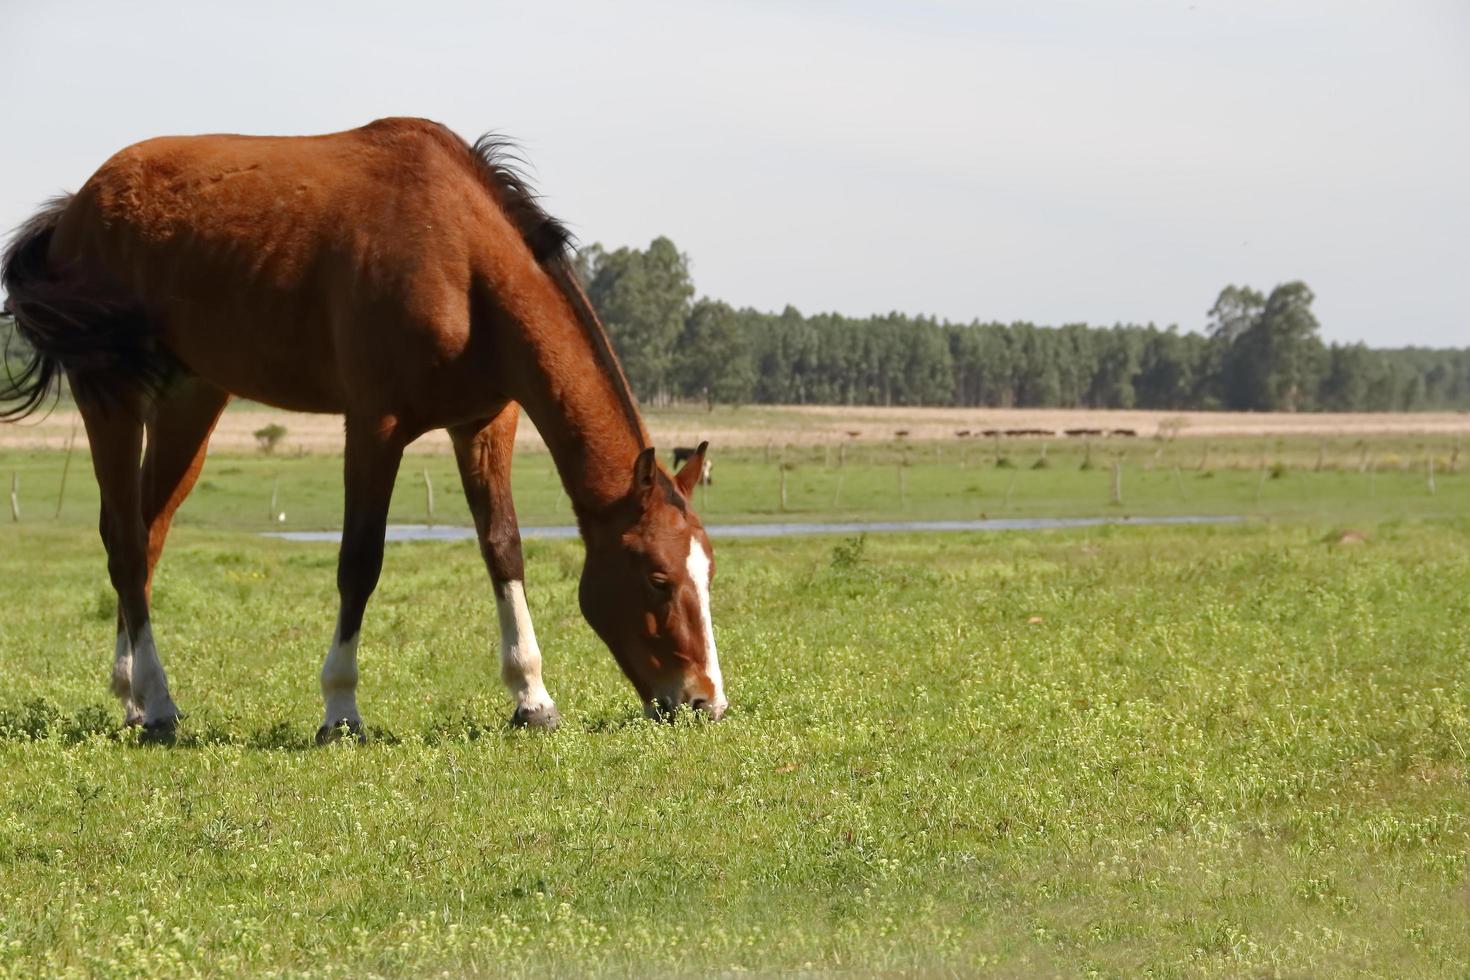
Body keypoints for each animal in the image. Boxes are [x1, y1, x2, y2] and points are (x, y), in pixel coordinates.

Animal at [2, 116, 726, 743]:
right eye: (658, 579)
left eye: (708, 572)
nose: (706, 702)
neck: (462, 260)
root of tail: (77, 207)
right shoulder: (375, 427)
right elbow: (360, 561)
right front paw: (340, 708)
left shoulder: (485, 424)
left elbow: (503, 549)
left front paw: (532, 698)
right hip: (111, 396)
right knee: (125, 542)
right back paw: (157, 703)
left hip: (191, 399)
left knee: (147, 536)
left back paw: (131, 694)